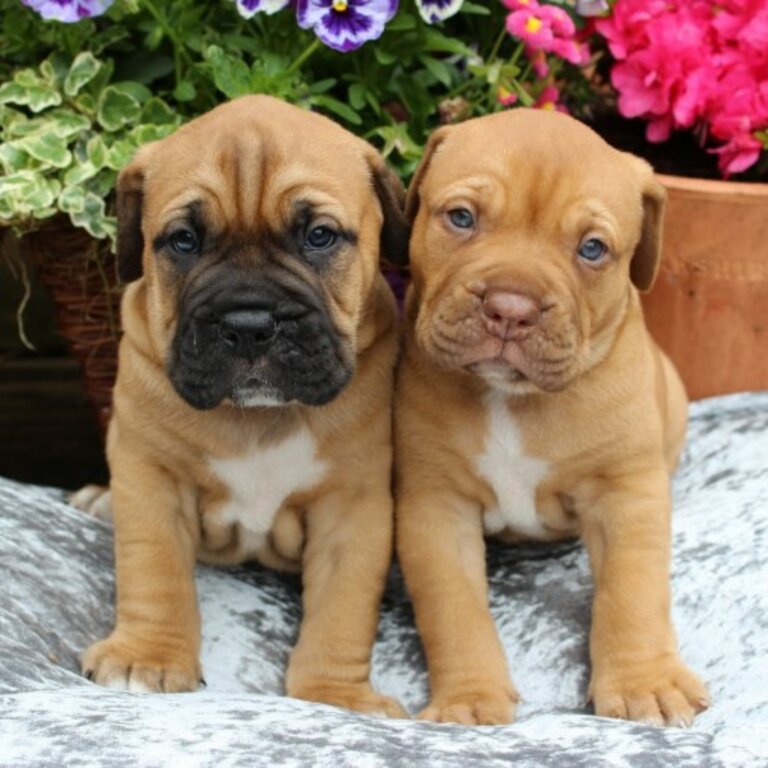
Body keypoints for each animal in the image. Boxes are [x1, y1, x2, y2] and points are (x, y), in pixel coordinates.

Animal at [80, 94, 412, 712]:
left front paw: (335, 693)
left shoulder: (353, 504)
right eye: (183, 241)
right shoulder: (149, 475)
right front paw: (147, 657)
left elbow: (343, 606)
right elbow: (153, 567)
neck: (259, 417)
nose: (251, 324)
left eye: (319, 236)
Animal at [392, 108, 712, 728]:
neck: (511, 398)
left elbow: (632, 592)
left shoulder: (626, 493)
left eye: (592, 249)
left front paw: (644, 683)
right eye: (461, 218)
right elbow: (452, 605)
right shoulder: (434, 505)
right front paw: (470, 698)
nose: (510, 308)